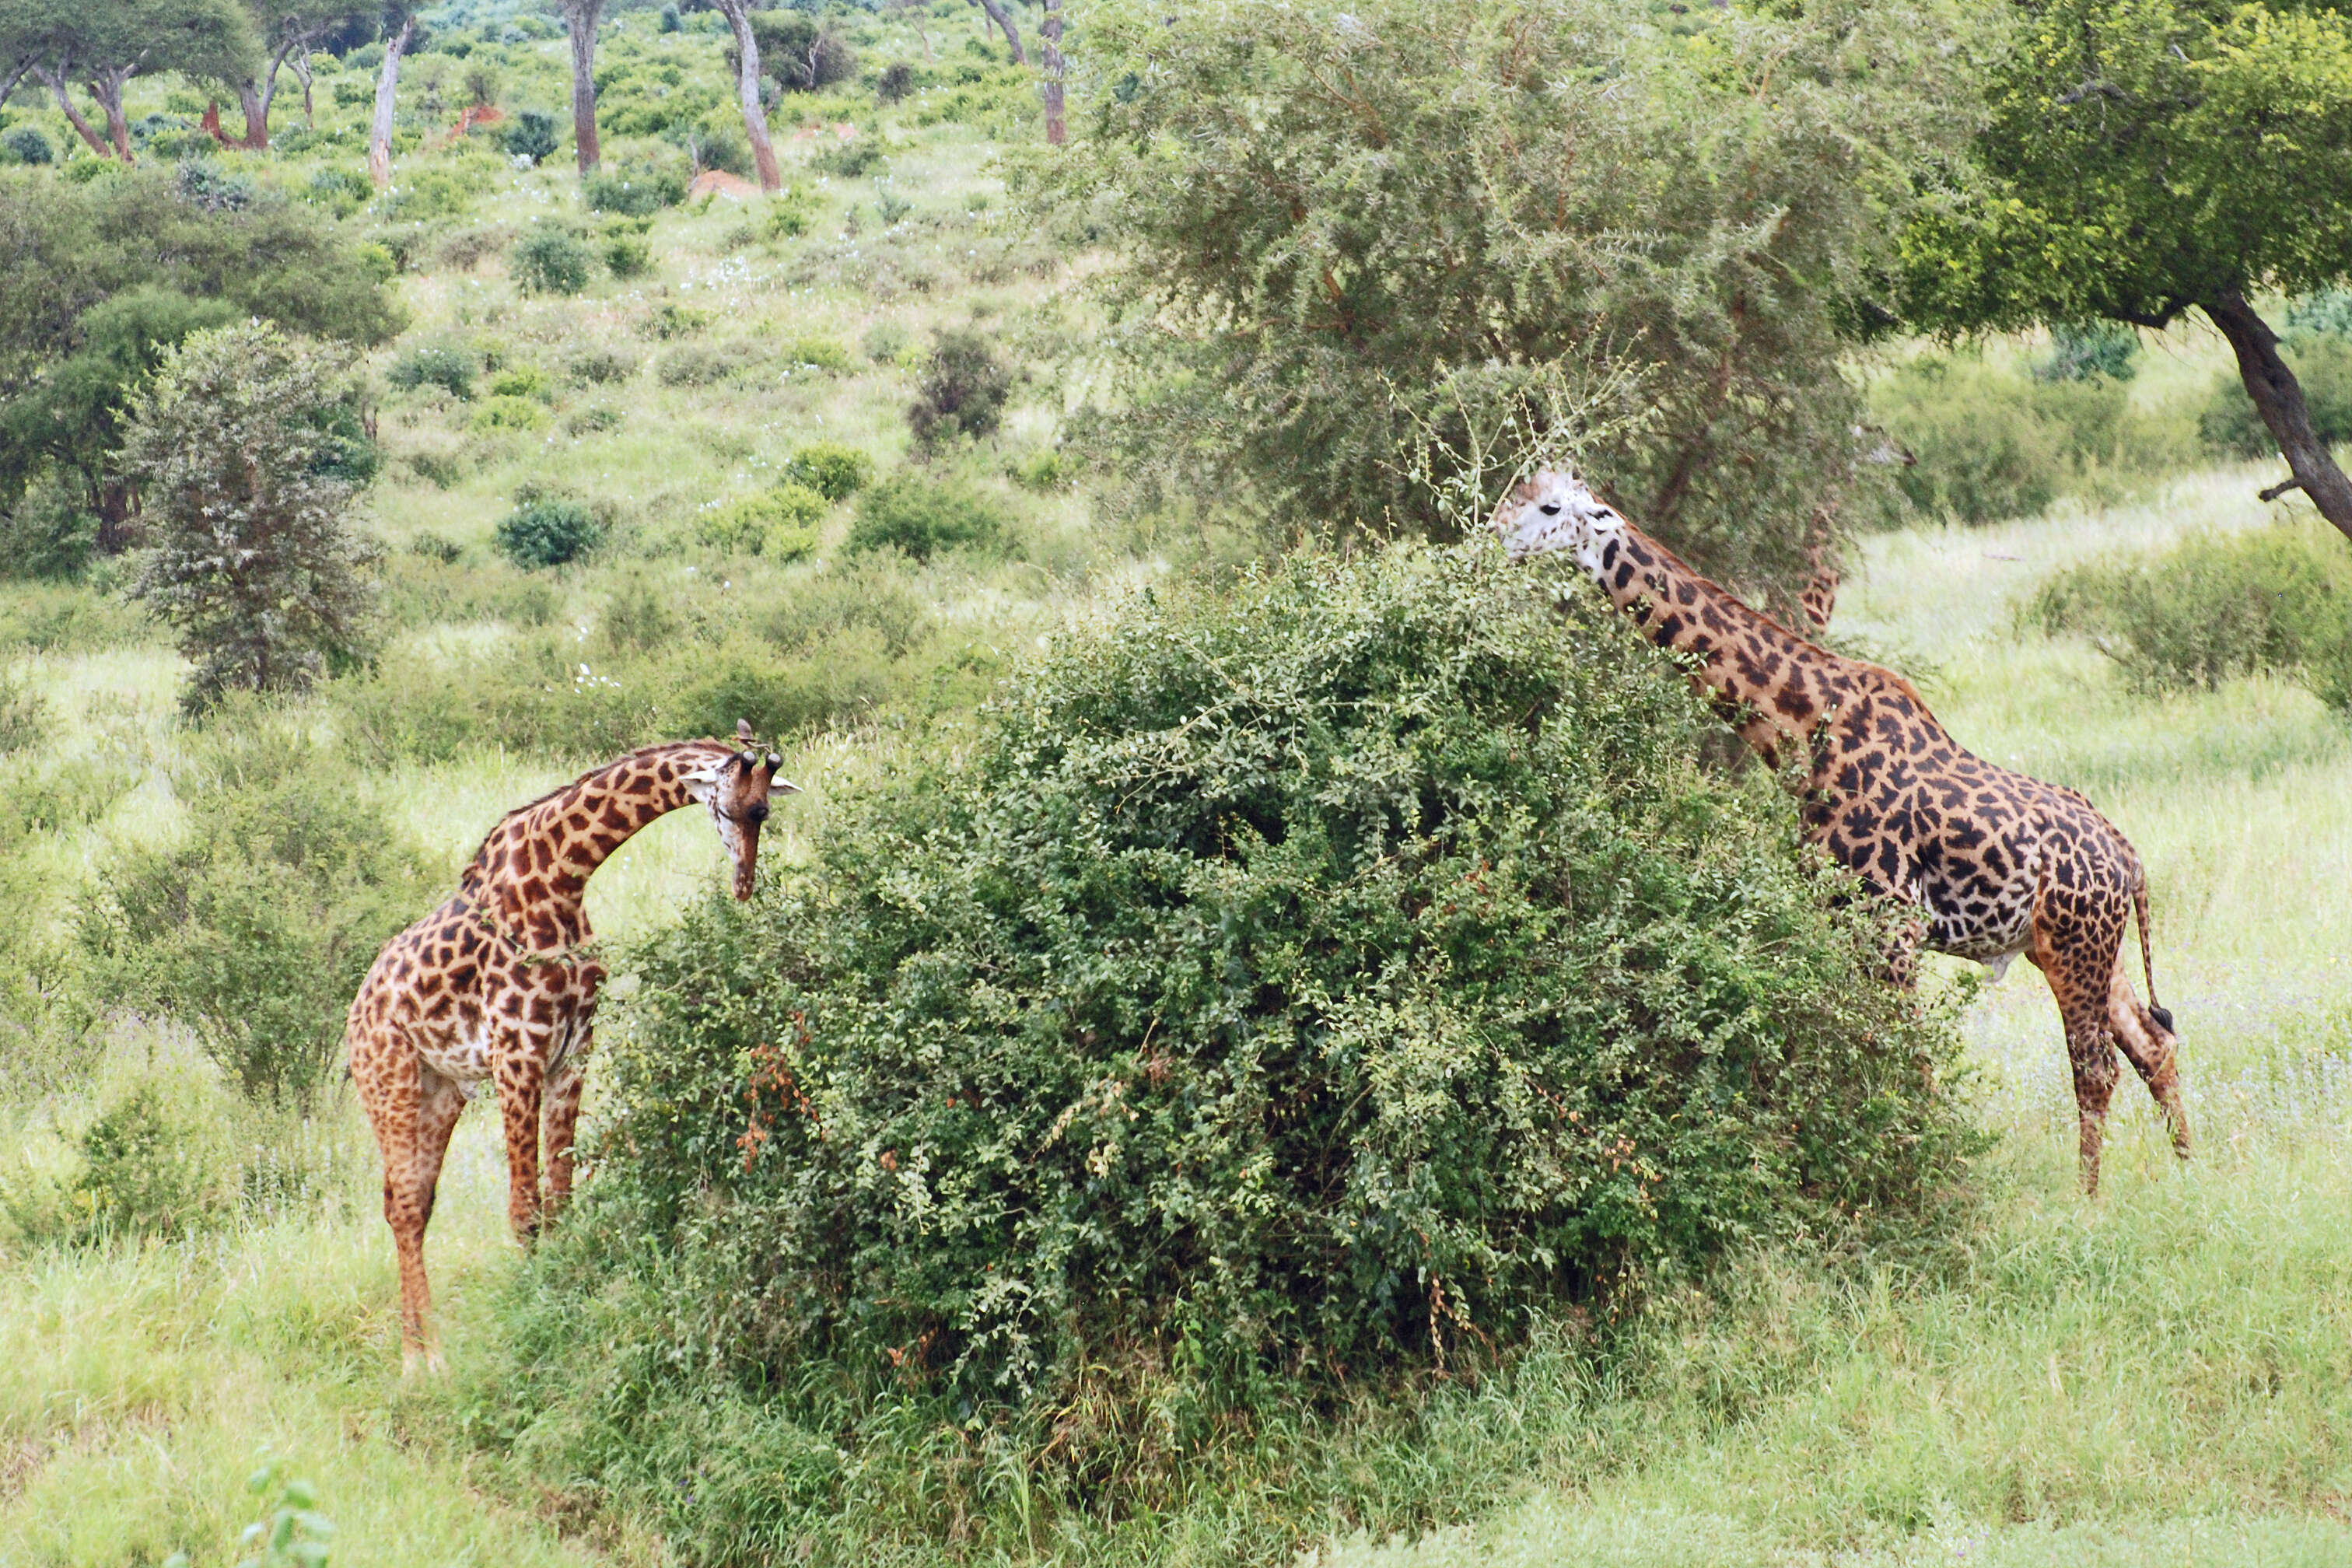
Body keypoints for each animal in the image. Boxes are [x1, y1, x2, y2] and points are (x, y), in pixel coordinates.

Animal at [343, 723, 795, 1373]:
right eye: (744, 808)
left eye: (767, 811)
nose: (744, 886)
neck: (563, 875)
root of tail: (355, 1017)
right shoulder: (518, 1055)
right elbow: (523, 1210)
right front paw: (533, 1316)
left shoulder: (574, 1053)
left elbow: (559, 1201)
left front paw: (563, 1302)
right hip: (391, 1084)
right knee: (403, 1205)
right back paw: (420, 1364)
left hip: (441, 1090)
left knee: (414, 1203)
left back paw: (429, 1350)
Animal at [1496, 472, 2192, 1194]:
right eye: (1515, 490)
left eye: (1550, 506)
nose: (1489, 532)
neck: (1802, 733)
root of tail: (2130, 858)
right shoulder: (1838, 915)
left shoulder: (1890, 922)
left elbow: (1911, 1065)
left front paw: (1932, 1184)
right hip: (2082, 948)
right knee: (2153, 1043)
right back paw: (2192, 1172)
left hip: (2075, 948)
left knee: (2097, 1069)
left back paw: (2090, 1200)